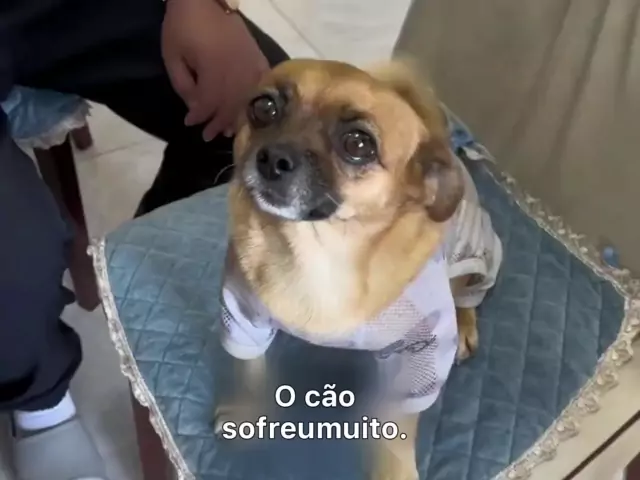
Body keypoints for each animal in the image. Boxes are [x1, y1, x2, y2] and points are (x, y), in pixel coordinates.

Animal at [216, 59, 502, 480]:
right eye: (264, 108)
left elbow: (398, 431)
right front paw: (245, 412)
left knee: (469, 295)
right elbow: (249, 369)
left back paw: (466, 322)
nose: (272, 158)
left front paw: (394, 472)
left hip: (478, 257)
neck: (320, 252)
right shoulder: (242, 314)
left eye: (358, 144)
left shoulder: (421, 355)